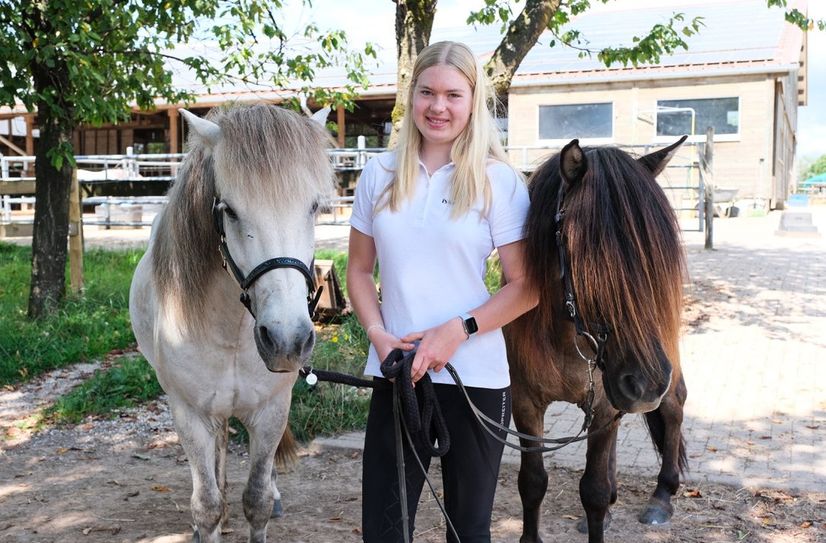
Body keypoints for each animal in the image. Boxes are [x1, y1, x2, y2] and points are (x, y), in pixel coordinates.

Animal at [129, 104, 332, 540]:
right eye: (230, 211)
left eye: (313, 207)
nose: (287, 341)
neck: (233, 335)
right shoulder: (190, 415)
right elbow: (206, 505)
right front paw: (208, 517)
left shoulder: (272, 411)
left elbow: (256, 500)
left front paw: (265, 498)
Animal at [506, 138, 684, 543]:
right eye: (577, 247)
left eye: (656, 252)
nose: (645, 382)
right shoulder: (525, 402)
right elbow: (532, 482)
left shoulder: (603, 404)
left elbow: (594, 491)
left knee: (674, 406)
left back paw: (663, 495)